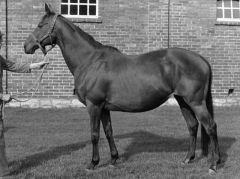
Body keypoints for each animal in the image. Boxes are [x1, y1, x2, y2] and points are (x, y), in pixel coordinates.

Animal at [23, 3, 220, 175]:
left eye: (41, 25)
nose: (26, 46)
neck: (89, 61)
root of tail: (201, 59)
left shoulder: (94, 105)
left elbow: (94, 134)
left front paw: (93, 163)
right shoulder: (104, 108)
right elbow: (109, 132)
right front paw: (113, 160)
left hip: (196, 102)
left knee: (210, 126)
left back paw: (214, 165)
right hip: (183, 101)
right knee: (193, 126)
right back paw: (188, 159)